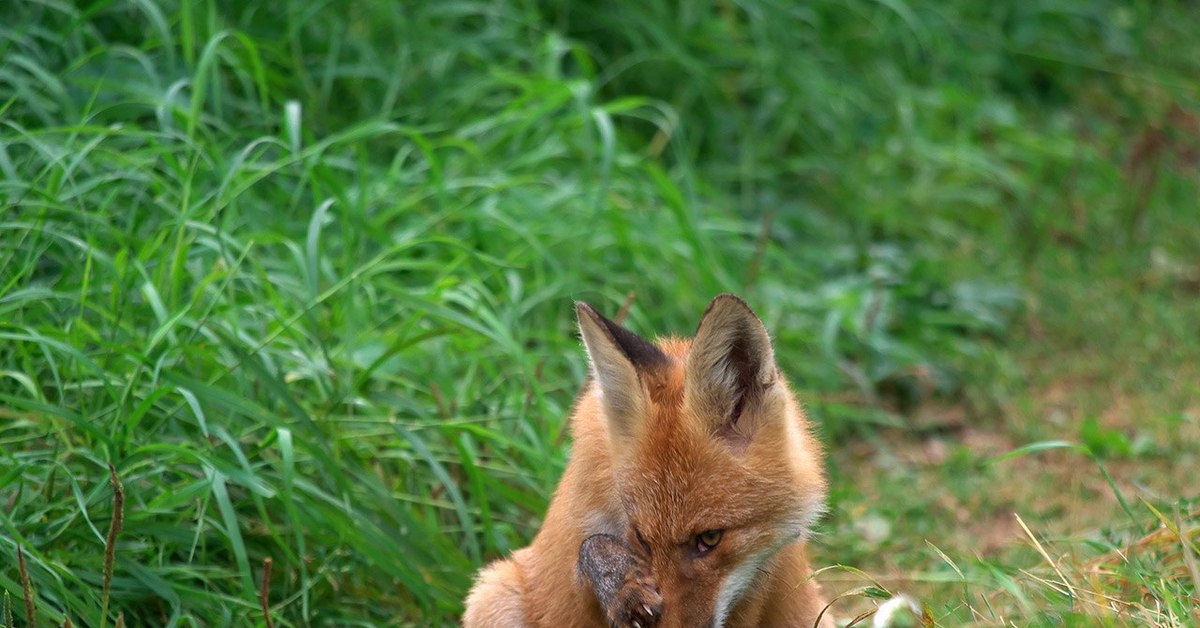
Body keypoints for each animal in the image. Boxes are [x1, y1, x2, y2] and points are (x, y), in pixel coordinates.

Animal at [463, 296, 830, 628]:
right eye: (641, 538)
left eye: (710, 538)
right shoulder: (561, 578)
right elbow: (588, 549)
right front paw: (619, 582)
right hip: (493, 594)